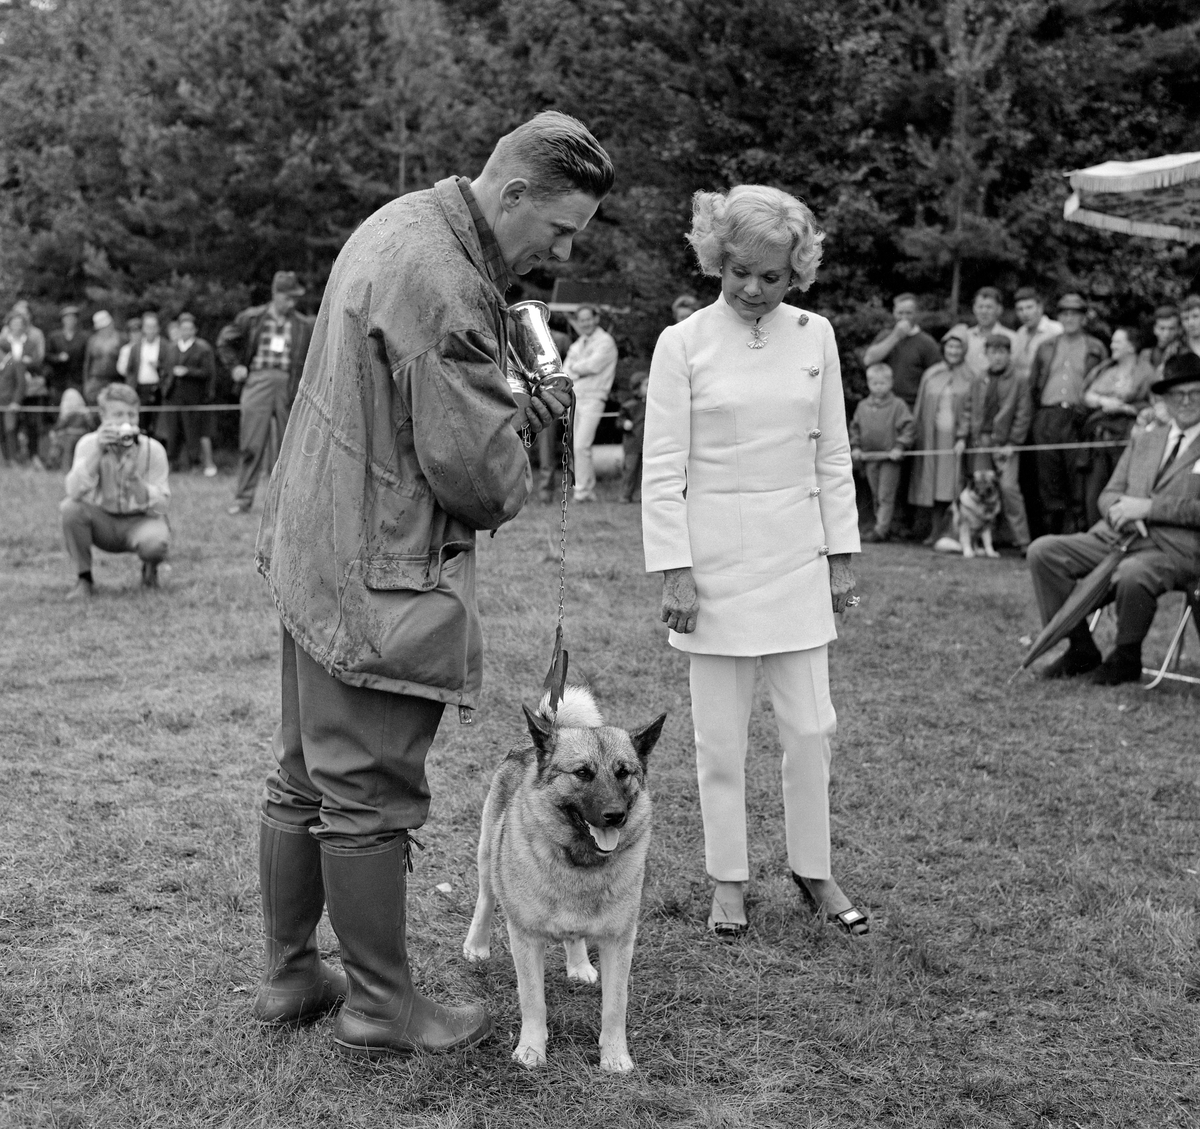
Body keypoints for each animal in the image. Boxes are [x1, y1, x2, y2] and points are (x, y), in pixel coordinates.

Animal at [460, 681, 667, 1070]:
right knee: (485, 899)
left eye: (624, 772)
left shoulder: (620, 942)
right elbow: (533, 1000)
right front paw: (531, 1049)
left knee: (575, 937)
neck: (581, 863)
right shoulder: (525, 939)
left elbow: (615, 1006)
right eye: (582, 773)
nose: (615, 815)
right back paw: (476, 946)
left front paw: (615, 1055)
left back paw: (579, 963)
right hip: (487, 857)